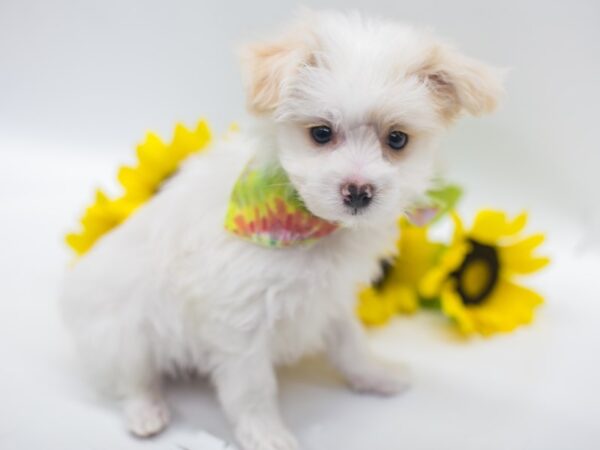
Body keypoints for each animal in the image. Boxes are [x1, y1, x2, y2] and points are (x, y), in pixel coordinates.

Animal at [59, 10, 502, 450]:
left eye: (397, 139)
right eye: (321, 133)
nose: (359, 191)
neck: (309, 226)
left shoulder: (333, 298)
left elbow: (350, 342)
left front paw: (375, 375)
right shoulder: (240, 319)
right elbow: (252, 387)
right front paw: (266, 434)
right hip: (121, 334)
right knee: (131, 380)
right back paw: (146, 413)